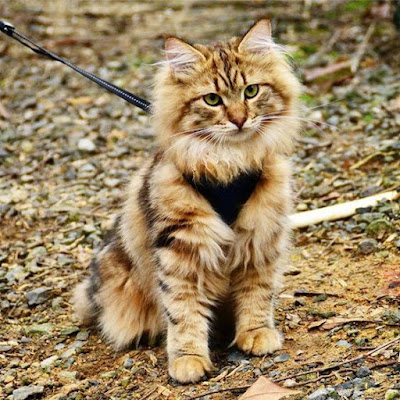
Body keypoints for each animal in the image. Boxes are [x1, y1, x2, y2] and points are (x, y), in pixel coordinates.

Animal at [72, 20, 300, 382]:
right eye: (212, 99)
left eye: (251, 92)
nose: (239, 119)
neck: (229, 162)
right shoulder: (179, 246)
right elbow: (183, 311)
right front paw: (188, 360)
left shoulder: (261, 235)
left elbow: (258, 294)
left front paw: (256, 334)